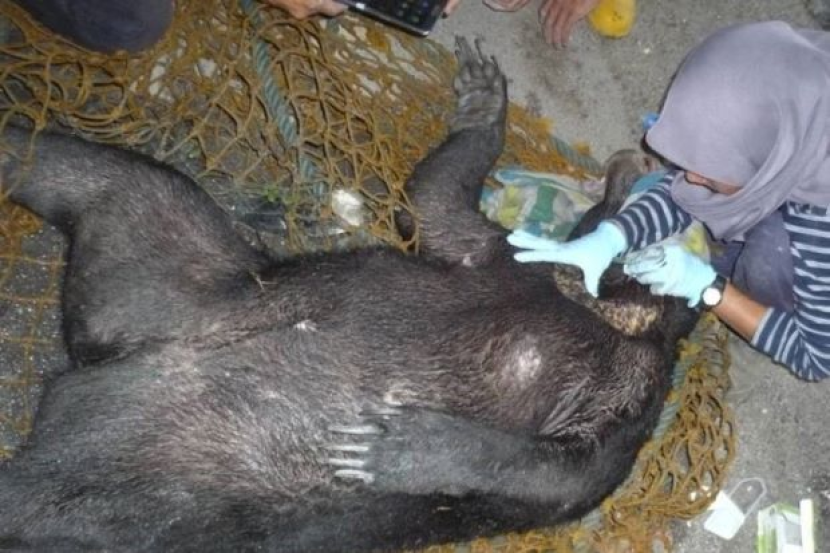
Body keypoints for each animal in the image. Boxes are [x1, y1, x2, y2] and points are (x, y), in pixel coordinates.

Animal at [0, 38, 697, 552]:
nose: (637, 160)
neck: (599, 301)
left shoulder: (630, 396)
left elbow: (562, 473)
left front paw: (398, 444)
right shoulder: (498, 252)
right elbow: (433, 201)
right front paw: (482, 99)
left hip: (144, 470)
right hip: (174, 284)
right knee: (81, 171)